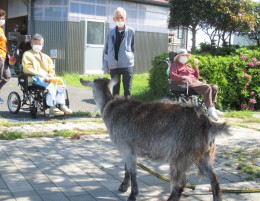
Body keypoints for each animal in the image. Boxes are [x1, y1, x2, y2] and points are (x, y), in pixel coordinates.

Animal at [80, 77, 229, 201]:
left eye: (92, 89)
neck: (110, 105)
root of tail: (207, 123)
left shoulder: (126, 147)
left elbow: (133, 171)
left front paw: (132, 195)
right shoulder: (128, 149)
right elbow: (127, 167)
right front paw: (124, 186)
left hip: (180, 155)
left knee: (180, 183)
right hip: (204, 155)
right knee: (214, 179)